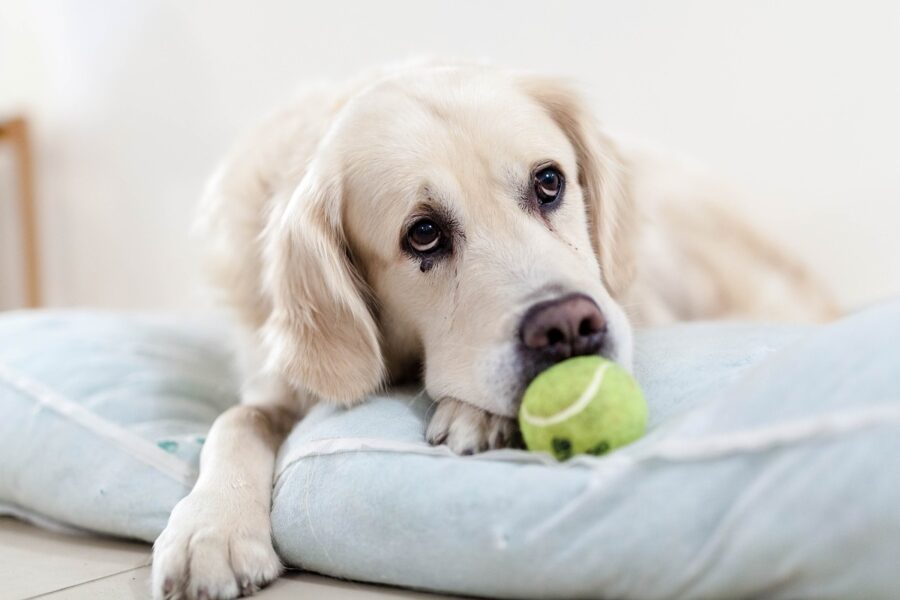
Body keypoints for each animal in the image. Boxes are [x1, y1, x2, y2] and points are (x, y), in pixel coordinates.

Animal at [153, 59, 836, 596]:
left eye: (549, 181)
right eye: (423, 233)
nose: (568, 328)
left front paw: (478, 412)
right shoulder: (277, 381)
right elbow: (236, 420)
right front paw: (209, 527)